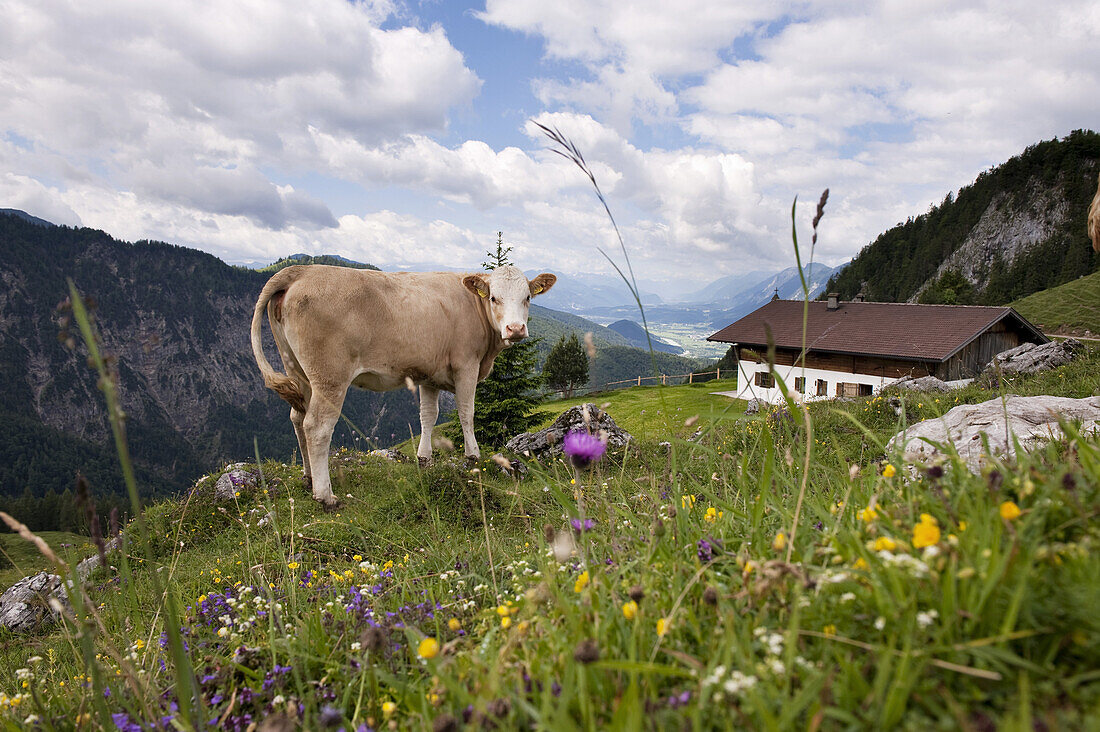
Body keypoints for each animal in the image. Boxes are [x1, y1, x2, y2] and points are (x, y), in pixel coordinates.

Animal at [251, 265, 554, 506]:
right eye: (493, 297)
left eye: (528, 298)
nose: (515, 329)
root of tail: (302, 270)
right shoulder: (466, 365)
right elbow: (467, 412)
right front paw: (473, 456)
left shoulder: (430, 374)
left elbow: (428, 416)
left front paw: (425, 459)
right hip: (329, 377)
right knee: (317, 426)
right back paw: (325, 495)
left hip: (298, 371)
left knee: (297, 418)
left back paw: (308, 478)